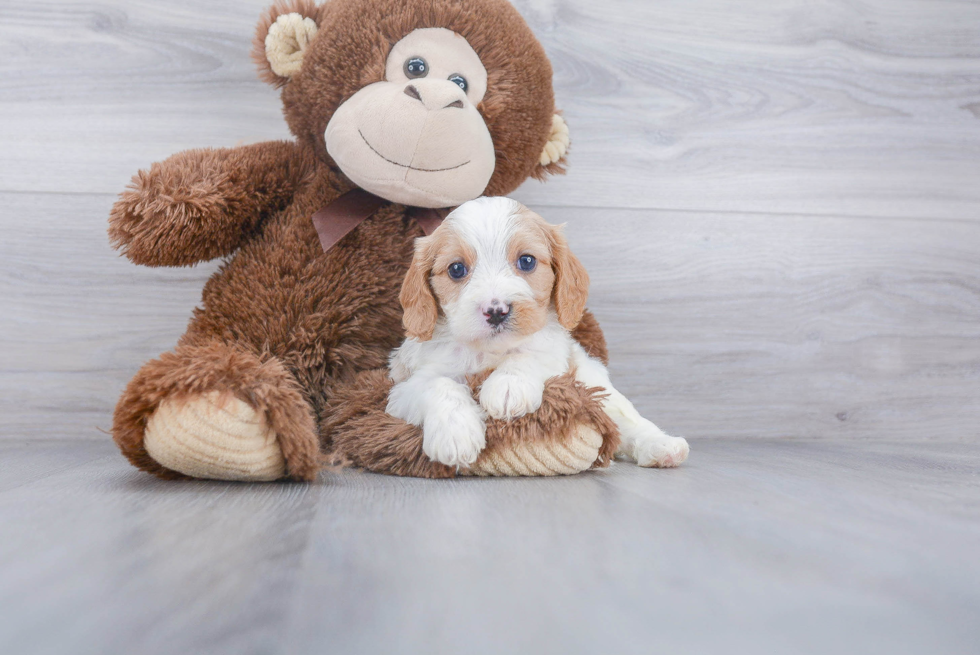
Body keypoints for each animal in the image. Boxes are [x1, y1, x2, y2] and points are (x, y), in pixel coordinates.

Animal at [382, 196, 688, 472]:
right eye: (457, 269)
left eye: (527, 261)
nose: (496, 310)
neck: (491, 351)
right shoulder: (404, 388)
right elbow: (439, 385)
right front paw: (456, 434)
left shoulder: (556, 359)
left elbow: (528, 355)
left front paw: (507, 386)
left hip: (595, 382)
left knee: (626, 421)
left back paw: (662, 446)